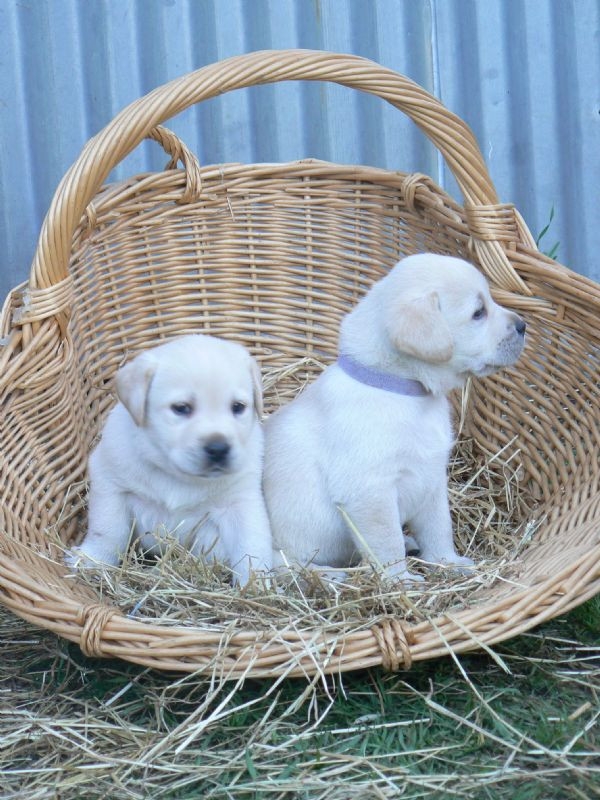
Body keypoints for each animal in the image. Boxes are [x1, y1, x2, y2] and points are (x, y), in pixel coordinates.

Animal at [67, 334, 272, 584]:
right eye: (181, 408)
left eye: (238, 407)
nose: (218, 448)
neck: (178, 475)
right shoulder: (110, 482)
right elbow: (107, 530)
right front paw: (92, 560)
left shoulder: (241, 502)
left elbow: (252, 546)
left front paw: (258, 584)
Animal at [264, 255, 528, 580]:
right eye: (478, 312)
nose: (523, 325)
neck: (406, 393)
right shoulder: (370, 491)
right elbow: (388, 544)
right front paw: (400, 580)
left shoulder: (433, 480)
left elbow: (439, 528)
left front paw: (448, 562)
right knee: (284, 565)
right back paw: (327, 575)